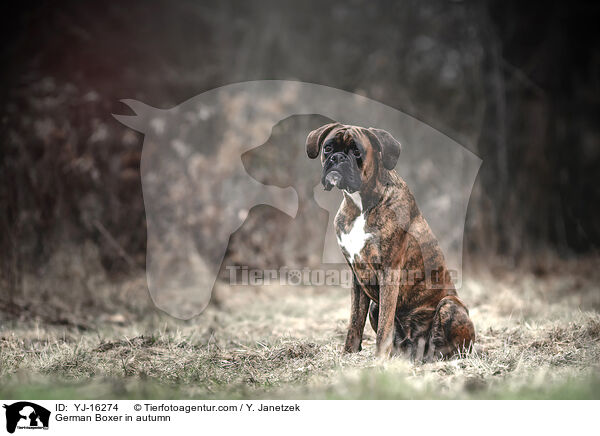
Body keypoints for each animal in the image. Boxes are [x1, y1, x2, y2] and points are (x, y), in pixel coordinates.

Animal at [308, 122, 476, 358]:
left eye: (357, 151)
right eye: (327, 148)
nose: (337, 158)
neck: (360, 204)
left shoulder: (389, 272)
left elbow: (384, 327)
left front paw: (378, 359)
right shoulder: (357, 278)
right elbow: (354, 322)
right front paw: (348, 354)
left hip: (450, 305)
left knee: (446, 346)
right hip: (375, 306)